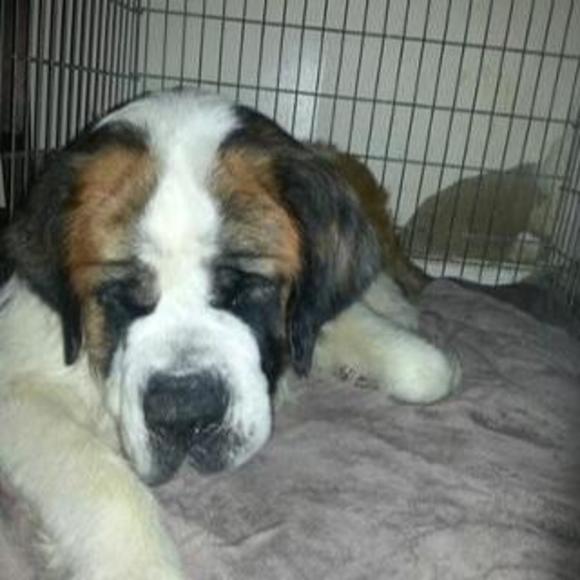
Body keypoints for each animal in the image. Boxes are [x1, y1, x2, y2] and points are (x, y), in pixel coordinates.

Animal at [0, 89, 460, 579]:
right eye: (121, 292)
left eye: (245, 287)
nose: (184, 413)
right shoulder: (17, 381)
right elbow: (97, 477)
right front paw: (140, 562)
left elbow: (416, 366)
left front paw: (411, 357)